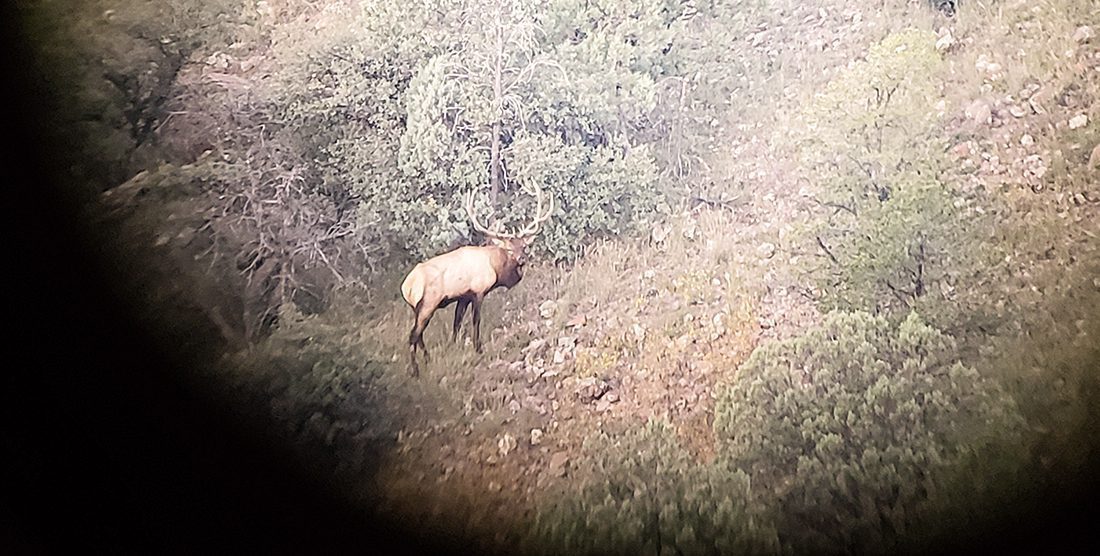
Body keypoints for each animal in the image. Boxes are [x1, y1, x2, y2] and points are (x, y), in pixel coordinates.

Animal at [400, 184, 554, 377]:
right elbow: (476, 320)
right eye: (509, 249)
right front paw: (478, 348)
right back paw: (415, 370)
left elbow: (457, 323)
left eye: (524, 246)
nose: (522, 259)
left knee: (418, 334)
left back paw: (427, 359)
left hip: (417, 307)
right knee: (413, 335)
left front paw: (453, 346)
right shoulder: (478, 291)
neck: (496, 269)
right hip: (429, 302)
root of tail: (407, 287)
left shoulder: (463, 297)